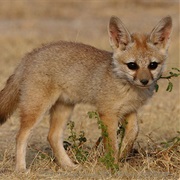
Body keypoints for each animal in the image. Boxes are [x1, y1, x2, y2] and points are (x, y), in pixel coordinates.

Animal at [0, 15, 172, 172]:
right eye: (132, 65)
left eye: (152, 65)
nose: (144, 81)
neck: (127, 87)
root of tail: (29, 55)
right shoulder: (107, 113)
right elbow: (112, 144)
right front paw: (113, 165)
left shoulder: (129, 110)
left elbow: (133, 133)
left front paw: (123, 155)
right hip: (36, 109)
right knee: (21, 136)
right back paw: (21, 169)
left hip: (64, 108)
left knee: (52, 136)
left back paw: (68, 165)